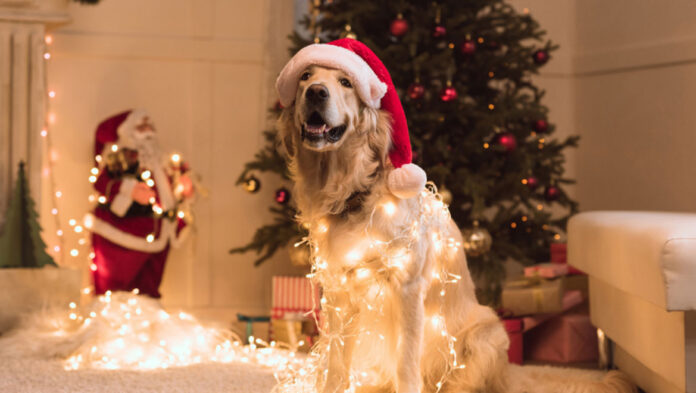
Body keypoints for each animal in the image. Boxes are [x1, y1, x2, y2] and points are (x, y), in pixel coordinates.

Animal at [274, 62, 632, 392]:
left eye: (346, 83)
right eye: (306, 76)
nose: (315, 92)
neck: (353, 195)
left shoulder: (406, 287)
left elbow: (405, 363)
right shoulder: (338, 292)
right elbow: (334, 364)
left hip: (486, 334)